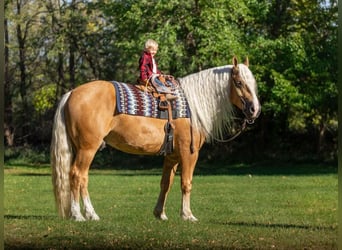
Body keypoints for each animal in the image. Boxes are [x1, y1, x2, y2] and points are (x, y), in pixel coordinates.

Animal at [50, 56, 260, 221]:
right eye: (239, 83)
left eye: (253, 84)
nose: (254, 110)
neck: (192, 107)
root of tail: (72, 93)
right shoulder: (189, 153)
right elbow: (186, 183)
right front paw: (187, 215)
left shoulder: (172, 155)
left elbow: (166, 183)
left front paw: (160, 214)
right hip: (87, 148)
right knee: (77, 175)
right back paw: (80, 215)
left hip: (80, 149)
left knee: (80, 177)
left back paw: (87, 214)